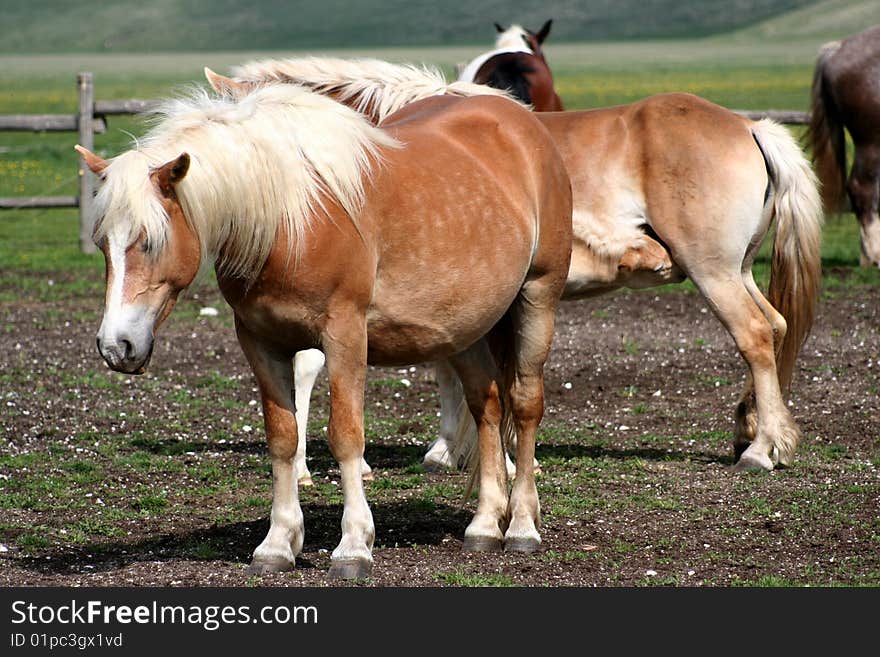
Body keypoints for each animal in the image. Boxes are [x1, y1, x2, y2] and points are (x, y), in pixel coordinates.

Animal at [74, 80, 572, 576]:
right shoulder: (261, 341)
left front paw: (353, 545)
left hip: (537, 299)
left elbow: (345, 436)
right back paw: (485, 525)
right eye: (101, 243)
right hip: (465, 327)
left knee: (524, 406)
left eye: (149, 241)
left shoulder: (345, 336)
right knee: (486, 408)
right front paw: (278, 542)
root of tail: (523, 121)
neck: (287, 221)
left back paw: (522, 526)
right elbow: (283, 439)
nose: (116, 346)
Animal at [208, 57, 824, 476]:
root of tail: (750, 126)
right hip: (737, 271)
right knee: (774, 327)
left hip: (712, 271)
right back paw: (752, 429)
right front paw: (452, 450)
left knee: (753, 335)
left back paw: (762, 450)